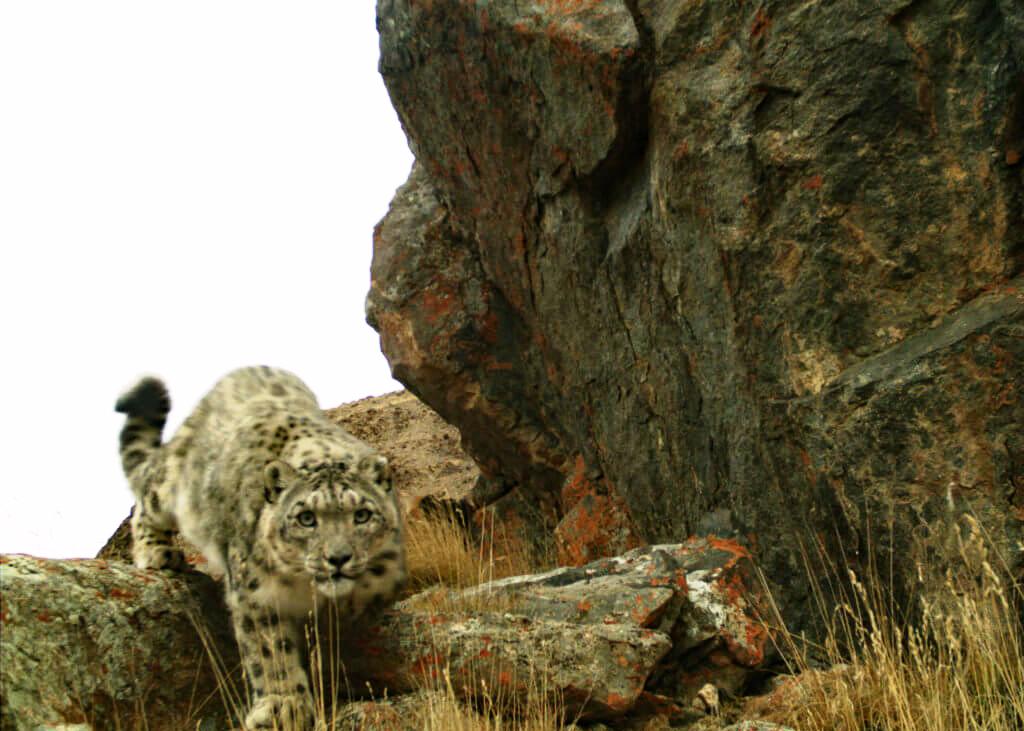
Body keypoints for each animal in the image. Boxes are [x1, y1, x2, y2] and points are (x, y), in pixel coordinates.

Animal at [115, 365, 406, 730]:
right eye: (306, 518)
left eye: (362, 515)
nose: (337, 558)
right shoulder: (256, 594)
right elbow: (271, 650)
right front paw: (285, 707)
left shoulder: (388, 566)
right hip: (174, 484)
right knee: (148, 496)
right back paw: (158, 552)